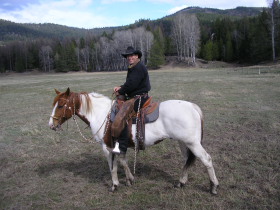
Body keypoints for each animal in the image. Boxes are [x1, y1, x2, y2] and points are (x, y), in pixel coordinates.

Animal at [48, 88, 219, 194]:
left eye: (61, 105)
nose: (51, 125)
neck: (101, 114)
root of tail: (193, 107)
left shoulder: (107, 147)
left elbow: (112, 166)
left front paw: (114, 185)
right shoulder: (119, 146)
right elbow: (123, 161)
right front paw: (130, 179)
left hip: (193, 143)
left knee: (206, 159)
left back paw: (214, 187)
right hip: (183, 143)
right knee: (187, 160)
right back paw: (181, 182)